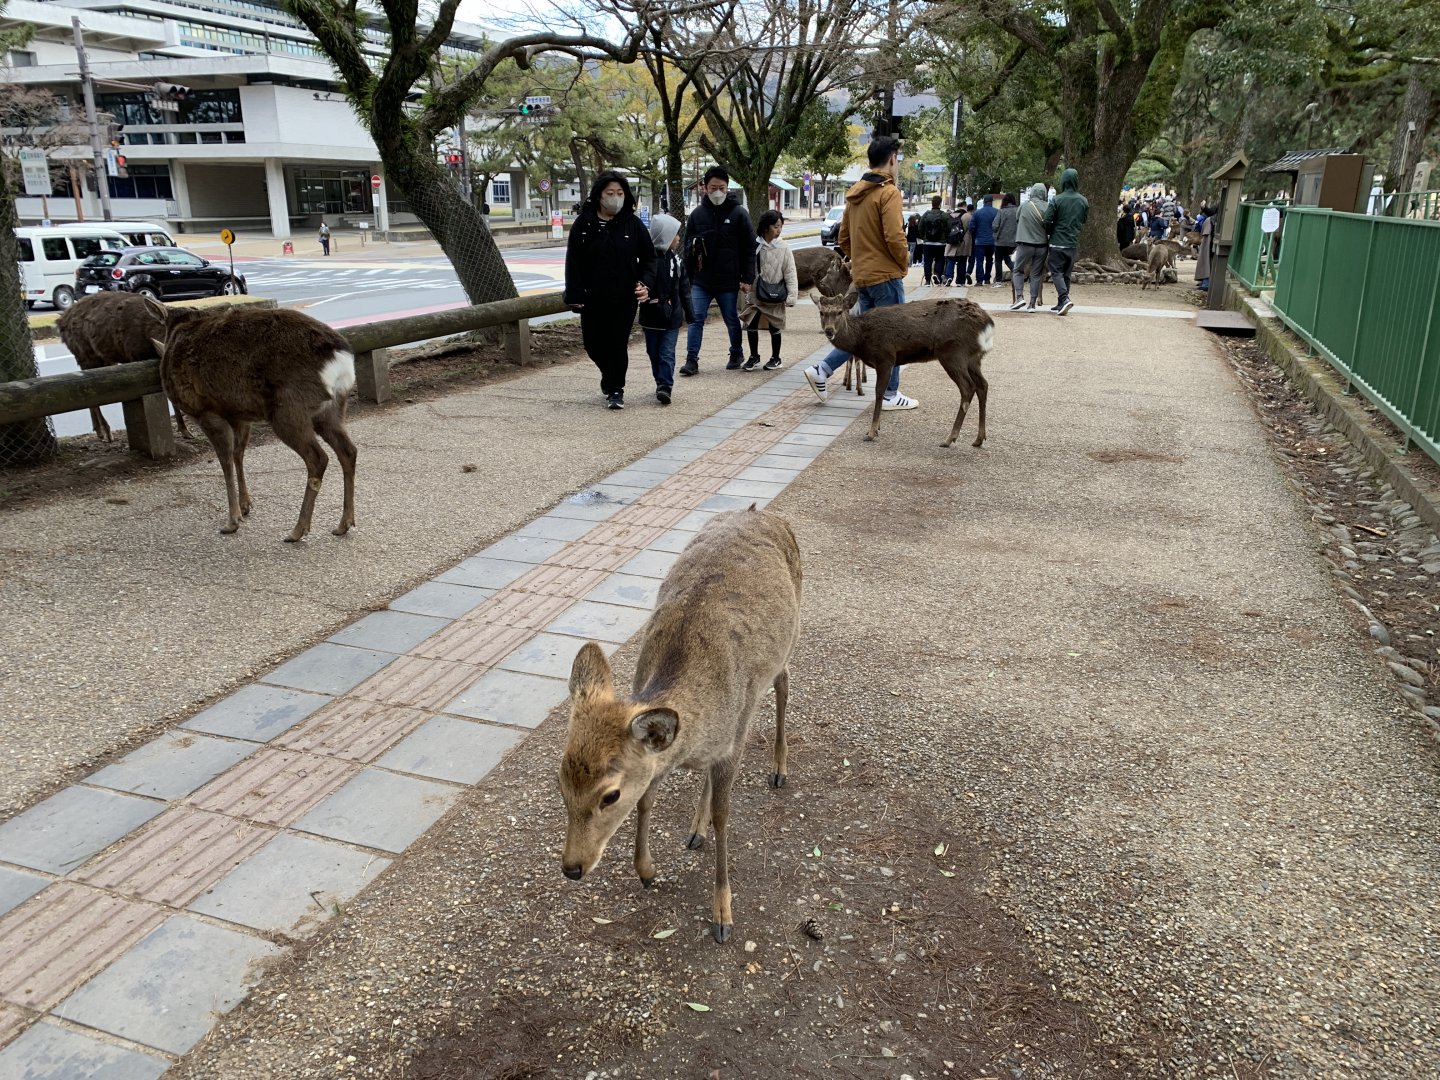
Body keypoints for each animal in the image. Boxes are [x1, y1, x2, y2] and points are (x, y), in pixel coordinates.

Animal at [55, 291, 191, 442]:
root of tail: (59, 322)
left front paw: (184, 429)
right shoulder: (133, 355)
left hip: (103, 358)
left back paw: (99, 430)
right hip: (86, 355)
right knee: (86, 389)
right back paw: (106, 431)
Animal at [144, 298, 357, 542]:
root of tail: (340, 357)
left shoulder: (206, 411)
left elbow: (225, 460)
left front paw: (232, 521)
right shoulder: (239, 414)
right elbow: (239, 454)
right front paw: (245, 505)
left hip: (289, 409)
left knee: (318, 458)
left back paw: (298, 529)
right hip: (332, 408)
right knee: (348, 450)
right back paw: (344, 523)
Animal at [559, 506, 802, 944]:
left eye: (609, 795)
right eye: (561, 782)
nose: (572, 868)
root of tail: (762, 512)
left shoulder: (735, 739)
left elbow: (725, 815)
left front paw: (722, 914)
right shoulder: (665, 753)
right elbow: (648, 798)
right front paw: (647, 871)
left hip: (791, 636)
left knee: (784, 681)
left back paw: (778, 768)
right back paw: (694, 828)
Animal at [811, 291, 992, 447]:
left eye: (839, 311)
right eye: (821, 312)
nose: (829, 331)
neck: (861, 339)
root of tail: (987, 323)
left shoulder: (885, 358)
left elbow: (879, 392)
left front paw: (871, 432)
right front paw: (876, 428)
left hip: (953, 352)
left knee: (968, 387)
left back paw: (949, 439)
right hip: (973, 358)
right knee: (983, 384)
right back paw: (979, 439)